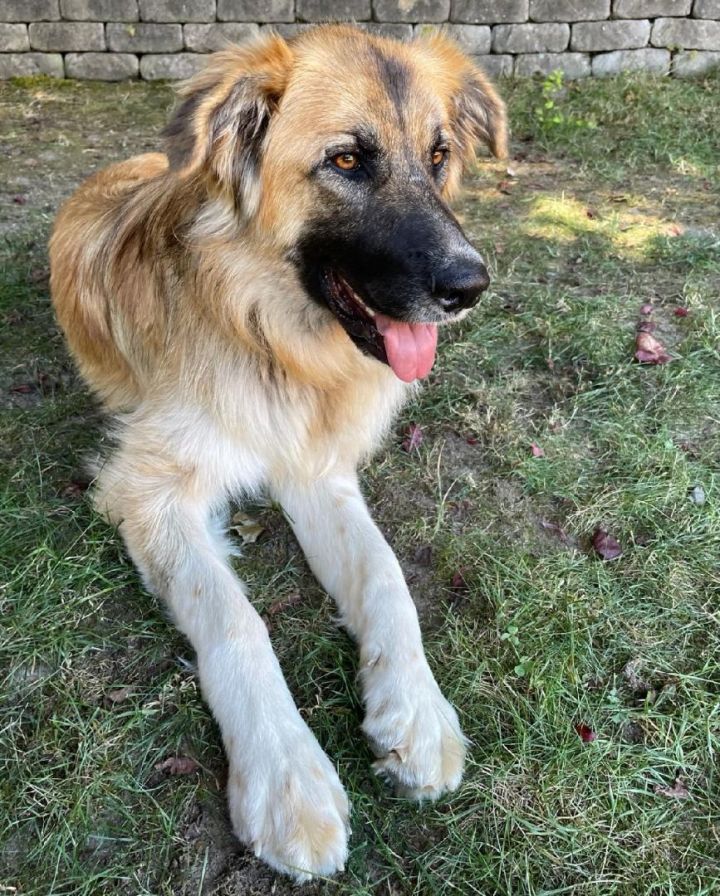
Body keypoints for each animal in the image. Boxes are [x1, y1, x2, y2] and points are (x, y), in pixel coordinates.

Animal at [49, 26, 506, 880]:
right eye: (348, 160)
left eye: (438, 157)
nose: (470, 286)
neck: (274, 341)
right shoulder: (149, 489)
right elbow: (235, 620)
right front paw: (287, 779)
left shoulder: (315, 470)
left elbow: (387, 578)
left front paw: (417, 714)